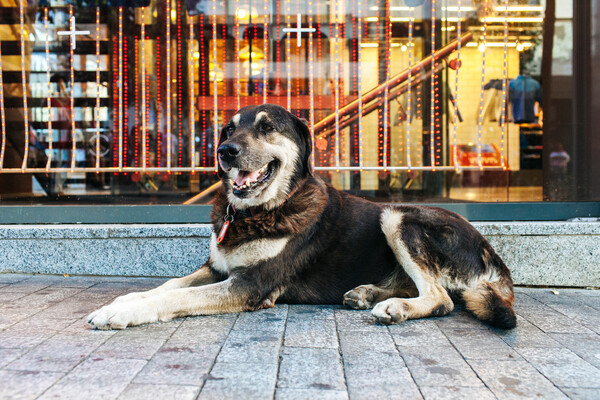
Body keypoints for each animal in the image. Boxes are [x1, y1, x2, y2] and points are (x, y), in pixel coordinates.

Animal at [86, 104, 516, 332]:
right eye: (228, 128)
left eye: (266, 127)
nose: (225, 150)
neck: (261, 210)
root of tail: (495, 258)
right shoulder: (216, 268)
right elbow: (168, 285)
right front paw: (124, 299)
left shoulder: (250, 285)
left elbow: (177, 295)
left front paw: (122, 311)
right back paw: (367, 293)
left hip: (398, 217)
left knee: (441, 298)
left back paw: (395, 307)